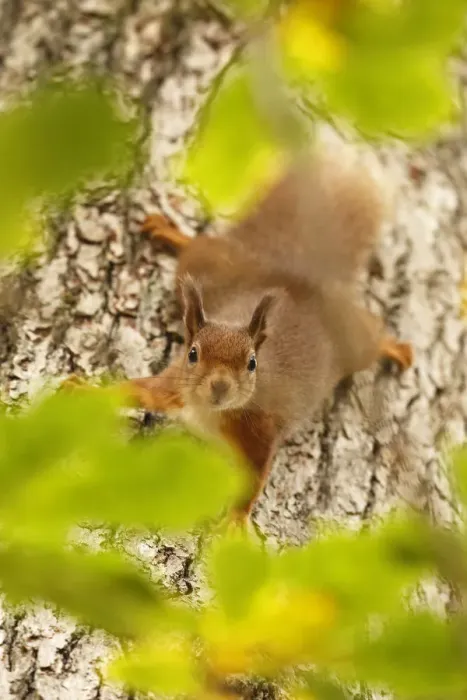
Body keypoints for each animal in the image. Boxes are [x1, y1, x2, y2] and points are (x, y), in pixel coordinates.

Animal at [63, 146, 413, 523]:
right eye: (193, 354)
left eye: (252, 363)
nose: (219, 386)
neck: (207, 412)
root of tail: (295, 274)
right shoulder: (173, 387)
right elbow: (134, 390)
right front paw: (85, 390)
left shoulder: (261, 429)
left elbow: (254, 480)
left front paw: (236, 521)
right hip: (210, 268)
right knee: (199, 247)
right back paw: (173, 233)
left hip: (351, 339)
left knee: (371, 332)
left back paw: (394, 346)